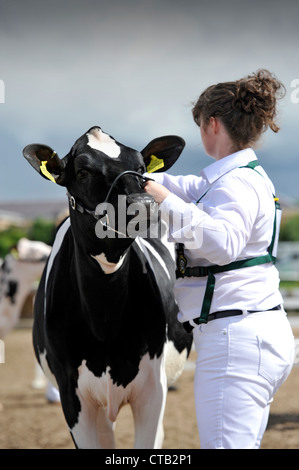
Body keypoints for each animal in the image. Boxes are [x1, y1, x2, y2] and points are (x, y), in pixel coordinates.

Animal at [22, 126, 192, 450]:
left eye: (140, 167)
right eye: (83, 171)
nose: (144, 203)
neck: (105, 317)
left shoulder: (153, 389)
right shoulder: (73, 397)